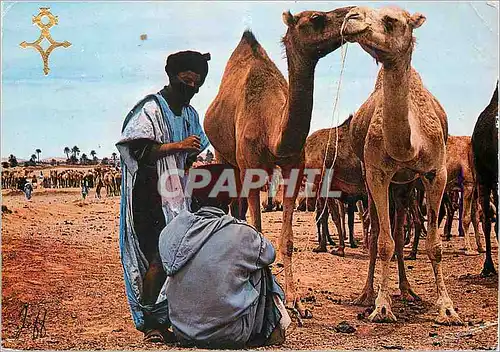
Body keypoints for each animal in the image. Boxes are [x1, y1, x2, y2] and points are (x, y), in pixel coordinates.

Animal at [204, 6, 356, 318]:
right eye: (316, 18)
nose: (351, 13)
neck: (270, 128)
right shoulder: (250, 168)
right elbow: (258, 233)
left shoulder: (293, 169)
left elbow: (287, 239)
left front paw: (295, 301)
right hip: (224, 156)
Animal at [342, 6, 462, 324]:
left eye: (392, 21)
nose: (350, 16)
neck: (410, 145)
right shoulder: (377, 173)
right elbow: (382, 242)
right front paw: (382, 307)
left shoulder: (436, 172)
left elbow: (434, 246)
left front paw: (447, 308)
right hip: (372, 181)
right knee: (376, 234)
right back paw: (366, 295)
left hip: (406, 186)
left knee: (398, 233)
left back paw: (408, 290)